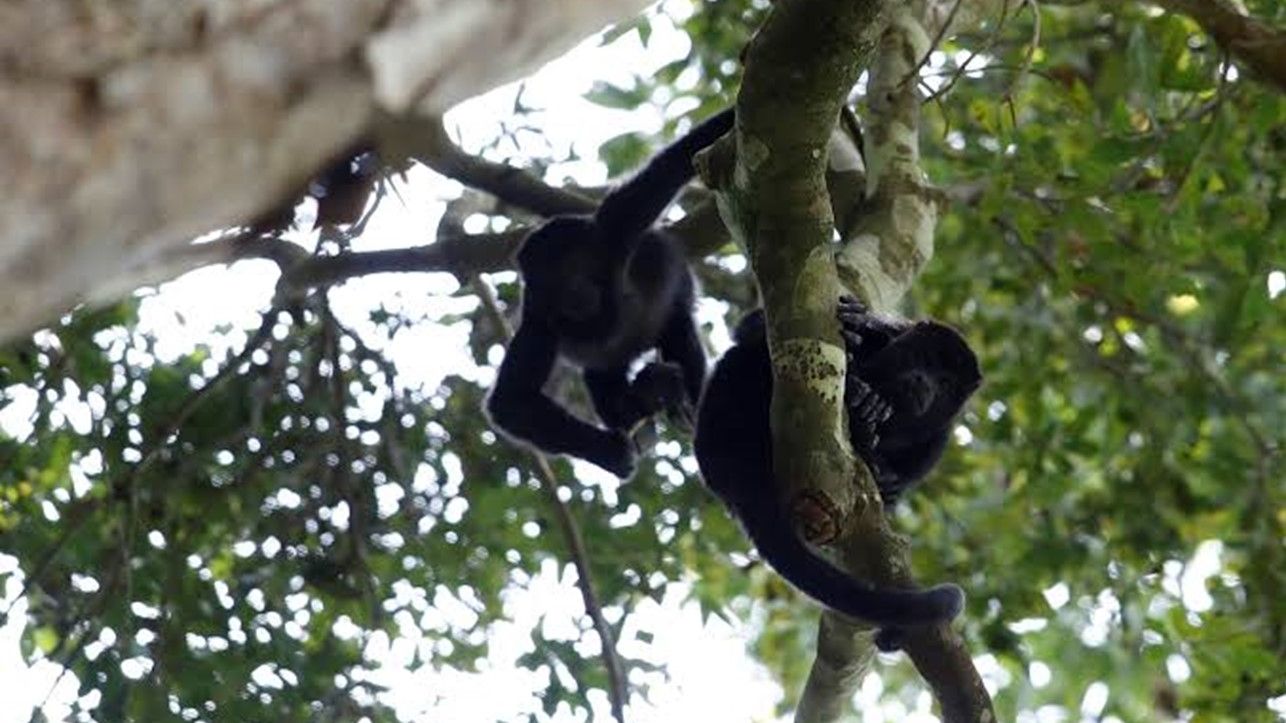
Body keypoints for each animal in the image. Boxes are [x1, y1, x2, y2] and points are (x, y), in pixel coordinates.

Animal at [487, 108, 735, 478]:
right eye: (545, 284)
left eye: (568, 269)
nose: (570, 295)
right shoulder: (538, 318)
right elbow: (511, 402)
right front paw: (609, 452)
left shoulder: (614, 229)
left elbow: (673, 163)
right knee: (602, 378)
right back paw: (644, 397)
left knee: (680, 331)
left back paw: (683, 403)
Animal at [692, 296, 981, 630]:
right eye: (923, 358)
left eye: (945, 383)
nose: (923, 381)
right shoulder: (893, 332)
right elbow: (751, 326)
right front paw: (861, 323)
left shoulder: (941, 433)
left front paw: (885, 477)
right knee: (745, 357)